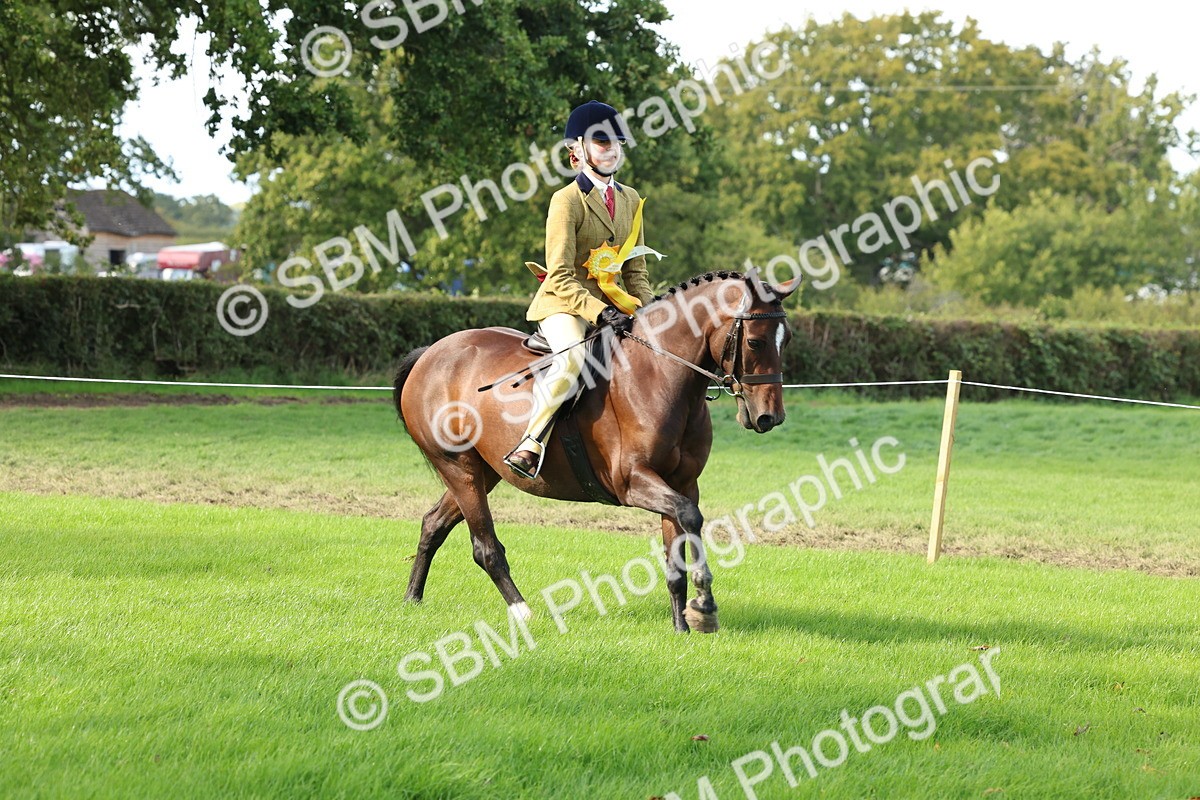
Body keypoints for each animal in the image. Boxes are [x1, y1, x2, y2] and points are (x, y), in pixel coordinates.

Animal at [392, 270, 798, 633]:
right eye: (755, 342)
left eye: (787, 339)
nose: (770, 417)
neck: (661, 374)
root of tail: (431, 353)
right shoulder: (632, 482)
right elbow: (690, 516)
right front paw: (704, 605)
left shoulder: (682, 483)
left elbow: (678, 552)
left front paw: (684, 625)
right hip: (460, 469)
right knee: (484, 547)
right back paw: (524, 614)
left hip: (483, 471)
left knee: (433, 523)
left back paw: (412, 598)